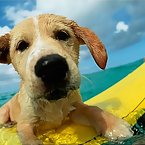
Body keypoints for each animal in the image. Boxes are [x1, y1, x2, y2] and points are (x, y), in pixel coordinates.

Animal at [0, 13, 133, 145]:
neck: (53, 103)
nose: (51, 67)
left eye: (62, 35)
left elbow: (91, 109)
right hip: (3, 112)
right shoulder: (25, 124)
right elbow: (29, 139)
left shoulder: (75, 108)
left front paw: (113, 125)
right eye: (21, 45)